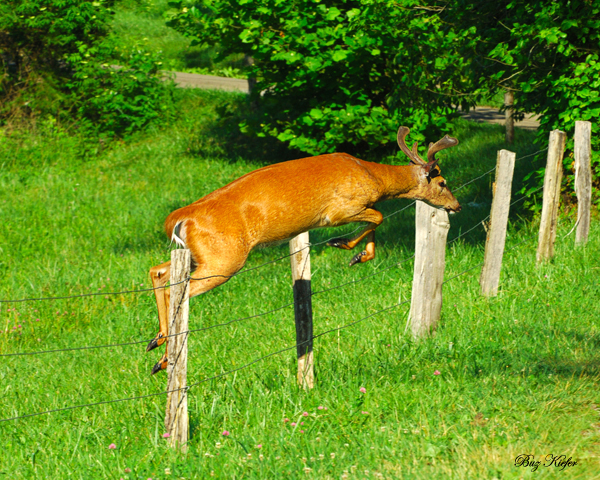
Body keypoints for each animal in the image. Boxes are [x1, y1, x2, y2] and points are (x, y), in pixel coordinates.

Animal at [148, 125, 462, 374]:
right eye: (443, 182)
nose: (456, 206)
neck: (374, 176)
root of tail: (179, 218)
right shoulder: (340, 209)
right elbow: (379, 216)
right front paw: (343, 245)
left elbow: (376, 219)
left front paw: (358, 255)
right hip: (224, 259)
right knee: (176, 290)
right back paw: (163, 356)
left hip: (198, 254)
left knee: (158, 271)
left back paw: (157, 346)